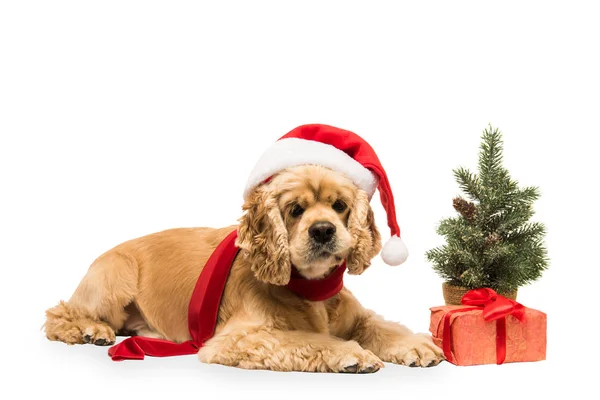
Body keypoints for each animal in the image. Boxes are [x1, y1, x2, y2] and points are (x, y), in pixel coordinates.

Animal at [43, 164, 446, 374]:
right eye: (295, 209)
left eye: (340, 205)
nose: (323, 230)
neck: (308, 288)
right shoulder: (240, 337)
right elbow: (309, 339)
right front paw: (354, 354)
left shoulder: (357, 317)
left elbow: (381, 326)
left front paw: (416, 345)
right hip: (115, 277)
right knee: (59, 315)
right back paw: (93, 330)